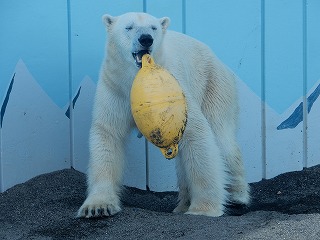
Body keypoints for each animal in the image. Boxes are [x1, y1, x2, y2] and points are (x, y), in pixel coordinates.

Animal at [78, 11, 250, 218]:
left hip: (214, 85)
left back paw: (237, 197)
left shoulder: (173, 89)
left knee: (223, 141)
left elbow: (196, 132)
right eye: (129, 27)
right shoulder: (115, 88)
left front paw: (203, 209)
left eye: (153, 27)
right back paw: (183, 204)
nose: (146, 39)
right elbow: (108, 134)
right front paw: (98, 207)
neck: (137, 78)